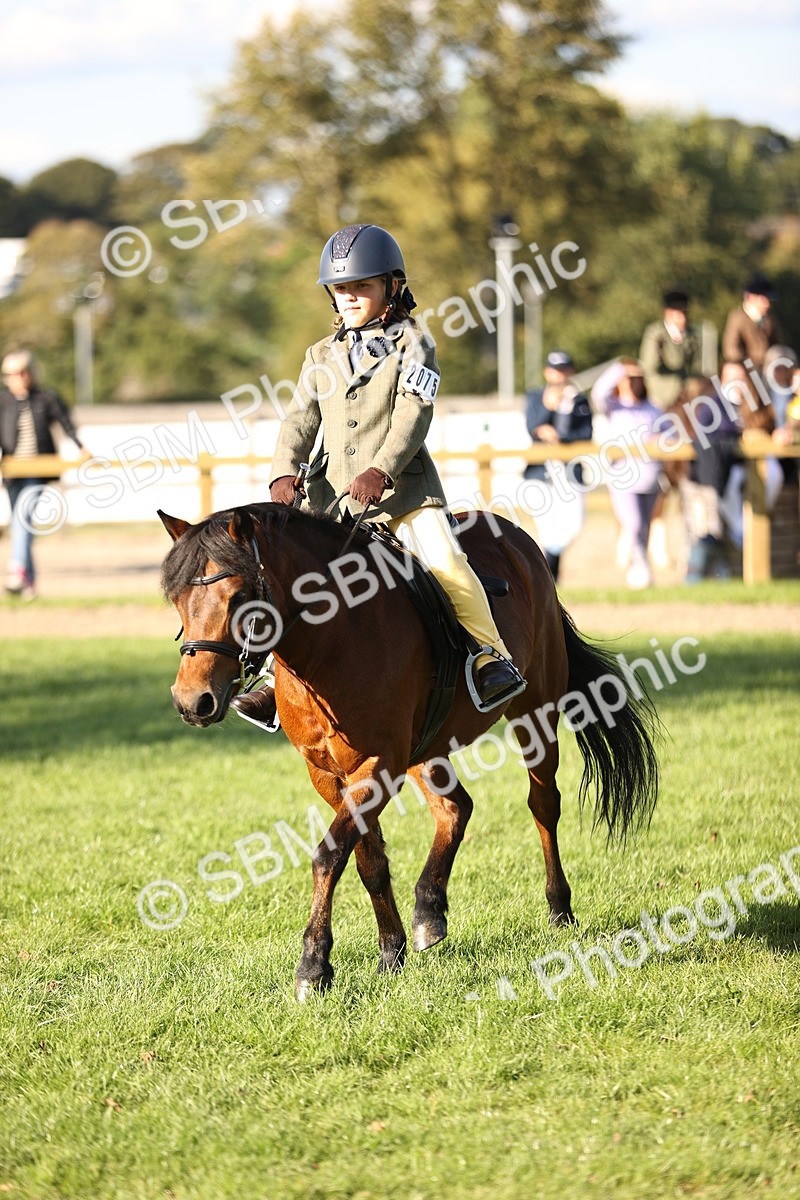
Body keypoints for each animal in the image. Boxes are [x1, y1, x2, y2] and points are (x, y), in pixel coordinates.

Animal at [159, 502, 659, 1000]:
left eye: (240, 596)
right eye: (177, 599)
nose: (191, 701)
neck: (329, 643)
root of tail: (518, 538)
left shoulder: (378, 765)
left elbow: (329, 856)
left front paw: (313, 967)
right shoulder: (327, 773)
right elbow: (369, 861)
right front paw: (390, 951)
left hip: (535, 710)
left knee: (542, 804)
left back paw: (558, 908)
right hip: (425, 748)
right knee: (455, 809)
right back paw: (429, 911)